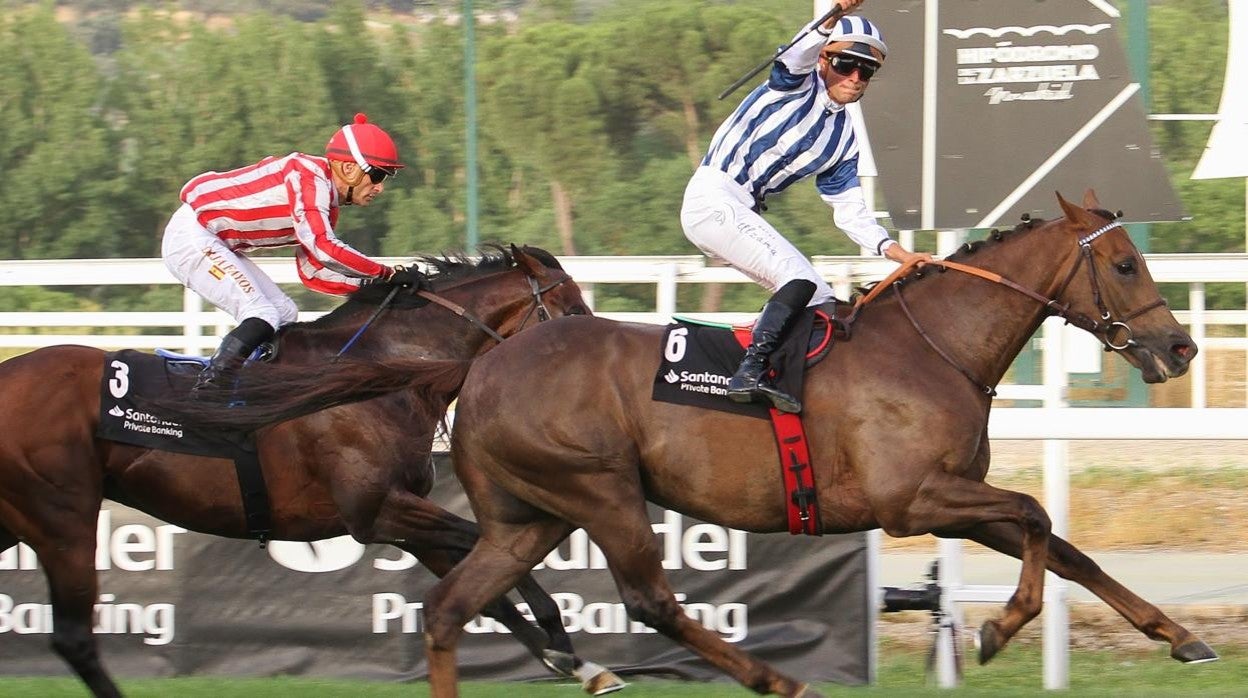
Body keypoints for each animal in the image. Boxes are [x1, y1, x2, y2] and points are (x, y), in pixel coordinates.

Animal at [0, 245, 624, 698]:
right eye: (572, 311)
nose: (600, 365)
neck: (381, 374)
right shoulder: (375, 512)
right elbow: (488, 546)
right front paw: (562, 642)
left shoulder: (406, 514)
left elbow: (485, 592)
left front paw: (577, 661)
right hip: (63, 518)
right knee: (75, 638)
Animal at [404, 192, 1213, 698]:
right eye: (1125, 264)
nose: (1180, 347)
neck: (933, 347)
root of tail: (483, 369)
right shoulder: (912, 502)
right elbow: (1037, 514)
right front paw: (996, 629)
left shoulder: (957, 500)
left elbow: (1069, 550)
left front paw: (1180, 637)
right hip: (600, 492)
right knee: (651, 601)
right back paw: (782, 679)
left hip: (529, 517)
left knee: (447, 608)